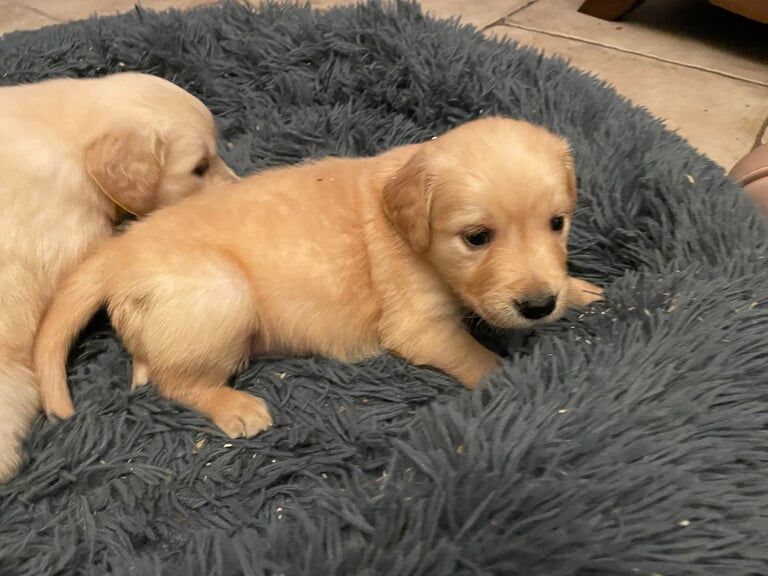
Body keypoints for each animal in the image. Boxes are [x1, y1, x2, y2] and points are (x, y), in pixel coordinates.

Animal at [34, 118, 600, 440]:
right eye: (476, 238)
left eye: (558, 223)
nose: (539, 305)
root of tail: (117, 251)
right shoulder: (421, 327)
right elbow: (477, 358)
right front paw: (513, 380)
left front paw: (580, 290)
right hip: (220, 295)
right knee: (176, 382)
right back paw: (236, 407)